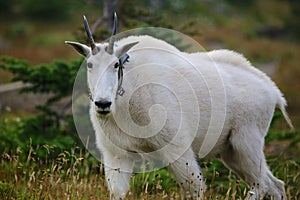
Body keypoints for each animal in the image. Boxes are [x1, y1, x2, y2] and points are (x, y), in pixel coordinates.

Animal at [65, 13, 292, 199]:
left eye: (115, 64)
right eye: (89, 64)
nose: (102, 104)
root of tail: (273, 93)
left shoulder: (176, 148)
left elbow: (195, 188)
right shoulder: (116, 153)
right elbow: (117, 192)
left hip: (246, 141)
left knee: (262, 185)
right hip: (230, 151)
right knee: (275, 185)